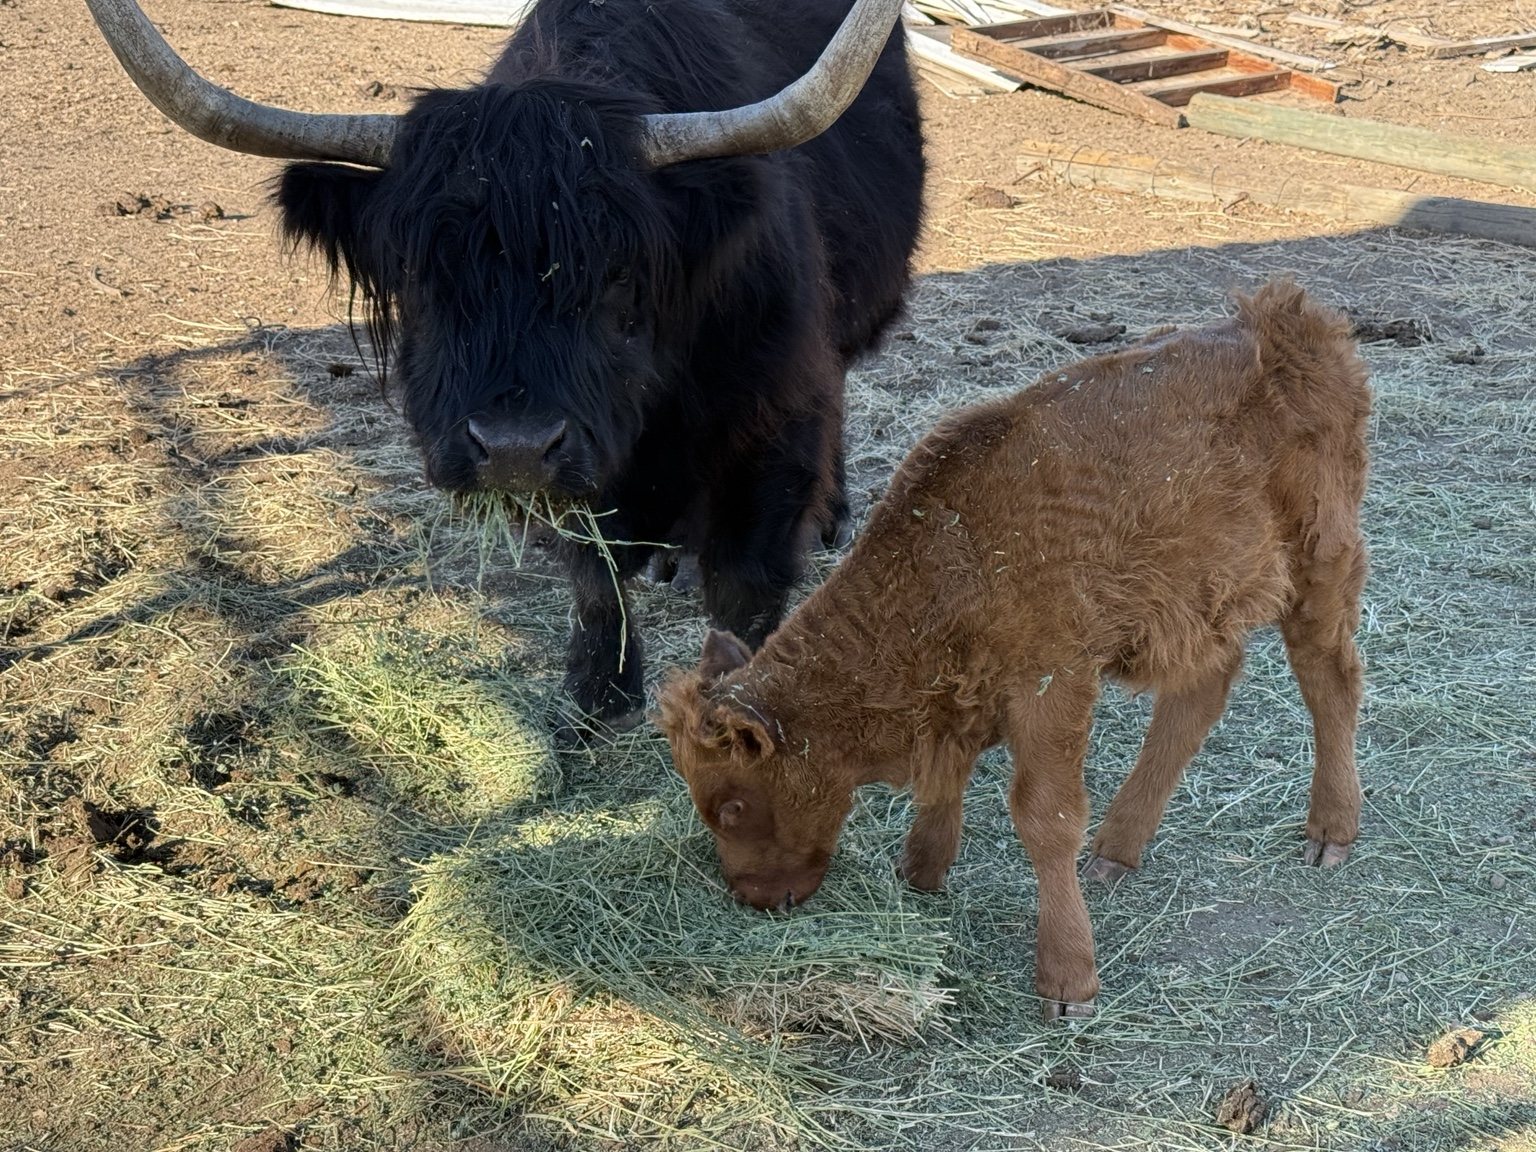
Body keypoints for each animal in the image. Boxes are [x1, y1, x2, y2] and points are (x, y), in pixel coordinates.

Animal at [85, 0, 924, 738]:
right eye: (421, 274)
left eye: (619, 274)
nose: (515, 447)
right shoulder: (578, 478)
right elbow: (593, 576)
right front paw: (599, 696)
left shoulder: (773, 420)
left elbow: (745, 586)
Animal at [657, 281, 1370, 1021]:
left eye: (733, 806)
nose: (754, 897)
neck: (950, 551)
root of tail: (1287, 321)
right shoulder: (965, 692)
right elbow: (951, 777)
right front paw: (920, 869)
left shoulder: (1052, 685)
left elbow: (1044, 817)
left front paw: (1067, 982)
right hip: (1201, 601)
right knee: (1199, 695)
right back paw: (1118, 850)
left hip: (1320, 562)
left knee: (1330, 677)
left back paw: (1331, 830)